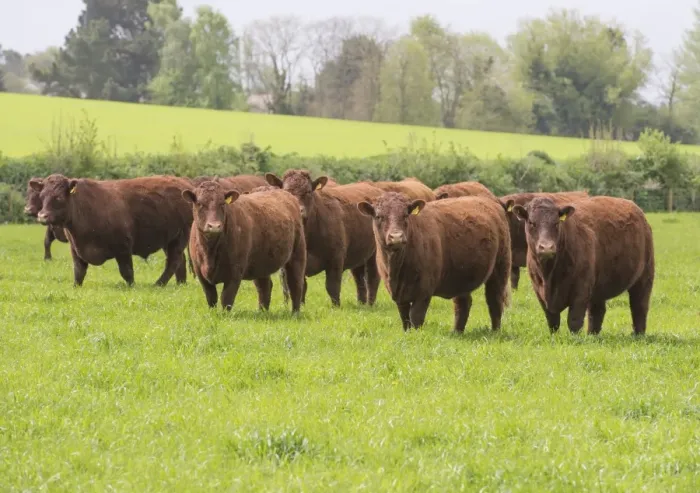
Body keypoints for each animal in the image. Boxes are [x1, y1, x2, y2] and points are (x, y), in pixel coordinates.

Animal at [30, 174, 193, 287]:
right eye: (42, 196)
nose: (42, 216)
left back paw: (158, 284)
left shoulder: (123, 248)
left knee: (173, 261)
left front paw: (132, 286)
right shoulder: (76, 249)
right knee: (180, 261)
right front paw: (75, 287)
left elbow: (127, 272)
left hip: (180, 237)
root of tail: (184, 182)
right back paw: (180, 283)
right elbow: (78, 272)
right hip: (169, 239)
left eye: (58, 197)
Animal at [183, 181, 306, 313]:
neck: (210, 251)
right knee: (264, 287)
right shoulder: (200, 274)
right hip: (261, 263)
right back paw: (262, 312)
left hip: (297, 255)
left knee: (296, 285)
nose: (214, 226)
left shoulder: (235, 272)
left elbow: (226, 299)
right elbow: (211, 298)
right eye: (200, 204)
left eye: (222, 204)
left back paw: (295, 313)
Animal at [265, 169, 383, 307]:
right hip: (359, 253)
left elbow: (332, 286)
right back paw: (361, 303)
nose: (299, 210)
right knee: (359, 280)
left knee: (372, 279)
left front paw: (336, 306)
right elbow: (300, 286)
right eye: (287, 191)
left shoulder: (336, 258)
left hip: (374, 254)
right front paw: (302, 305)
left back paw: (370, 304)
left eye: (308, 191)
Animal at [357, 192, 511, 333]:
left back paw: (495, 331)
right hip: (461, 276)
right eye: (379, 216)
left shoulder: (424, 291)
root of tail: (492, 202)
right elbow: (405, 318)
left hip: (500, 268)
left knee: (494, 300)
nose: (396, 237)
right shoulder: (399, 295)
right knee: (463, 303)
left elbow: (415, 317)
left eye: (406, 215)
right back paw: (457, 332)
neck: (396, 269)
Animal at [512, 196, 654, 335]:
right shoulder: (539, 290)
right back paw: (592, 334)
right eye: (531, 223)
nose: (546, 247)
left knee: (639, 306)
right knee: (597, 312)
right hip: (599, 287)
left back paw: (638, 334)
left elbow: (574, 320)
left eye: (556, 223)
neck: (549, 275)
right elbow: (552, 320)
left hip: (645, 276)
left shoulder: (581, 289)